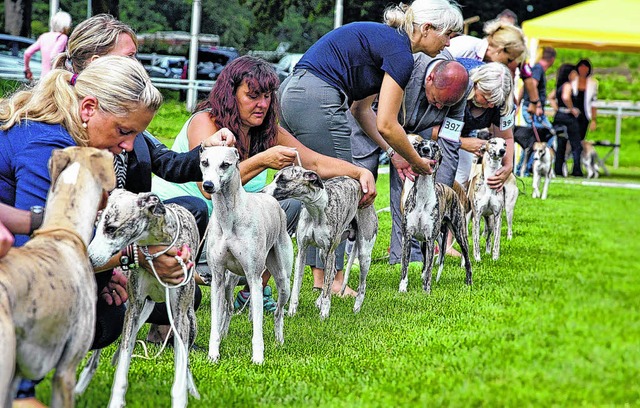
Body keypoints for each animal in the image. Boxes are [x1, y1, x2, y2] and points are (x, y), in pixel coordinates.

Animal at [86, 190, 199, 408]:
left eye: (111, 228)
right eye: (97, 222)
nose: (88, 258)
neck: (157, 245)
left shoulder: (179, 316)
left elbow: (181, 368)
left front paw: (181, 397)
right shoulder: (133, 309)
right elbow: (123, 362)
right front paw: (116, 401)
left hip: (189, 321)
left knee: (186, 358)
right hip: (136, 310)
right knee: (97, 356)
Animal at [200, 145, 292, 364]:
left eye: (225, 164)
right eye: (204, 162)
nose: (208, 185)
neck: (229, 217)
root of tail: (271, 198)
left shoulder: (254, 277)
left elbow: (257, 329)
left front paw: (258, 358)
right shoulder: (217, 279)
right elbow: (215, 322)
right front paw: (213, 354)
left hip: (282, 280)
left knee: (278, 313)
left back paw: (279, 340)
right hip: (229, 282)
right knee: (229, 309)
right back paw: (225, 333)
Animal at [262, 164, 378, 320]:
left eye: (283, 180)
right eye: (274, 177)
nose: (261, 192)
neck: (315, 209)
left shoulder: (330, 253)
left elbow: (327, 291)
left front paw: (324, 314)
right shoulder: (302, 251)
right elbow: (296, 287)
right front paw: (292, 312)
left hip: (363, 254)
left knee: (361, 285)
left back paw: (356, 308)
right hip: (323, 253)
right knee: (332, 274)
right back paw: (319, 301)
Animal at [400, 137, 476, 294]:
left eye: (435, 146)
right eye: (421, 145)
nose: (426, 150)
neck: (423, 196)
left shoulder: (430, 239)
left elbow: (429, 268)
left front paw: (426, 291)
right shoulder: (408, 237)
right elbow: (405, 266)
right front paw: (402, 288)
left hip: (460, 234)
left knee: (467, 261)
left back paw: (469, 282)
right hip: (429, 240)